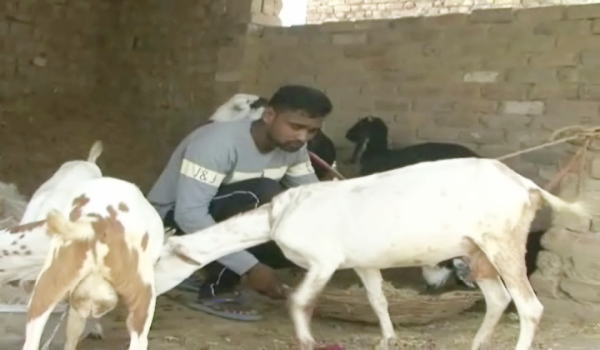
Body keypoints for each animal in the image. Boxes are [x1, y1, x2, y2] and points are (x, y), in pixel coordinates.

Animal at [21, 176, 164, 350]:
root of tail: (97, 223)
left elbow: (72, 333)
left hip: (44, 292)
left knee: (32, 340)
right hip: (144, 298)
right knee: (139, 341)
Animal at [155, 158, 592, 350]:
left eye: (158, 259)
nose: (147, 294)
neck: (276, 216)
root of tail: (526, 186)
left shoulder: (324, 259)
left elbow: (300, 301)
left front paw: (306, 339)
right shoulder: (362, 263)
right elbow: (378, 300)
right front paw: (387, 337)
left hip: (502, 239)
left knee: (529, 306)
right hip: (476, 249)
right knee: (499, 298)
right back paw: (474, 344)